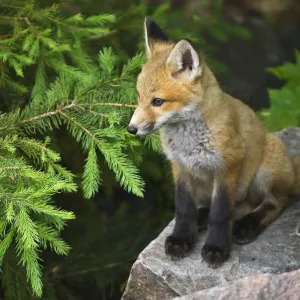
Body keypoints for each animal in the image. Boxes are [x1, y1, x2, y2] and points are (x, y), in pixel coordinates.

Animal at [127, 17, 300, 268]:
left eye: (158, 101)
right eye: (139, 98)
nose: (131, 129)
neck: (189, 143)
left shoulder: (227, 167)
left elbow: (220, 213)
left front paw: (216, 248)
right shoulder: (180, 167)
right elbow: (184, 208)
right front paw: (182, 239)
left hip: (263, 175)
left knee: (274, 202)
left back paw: (246, 226)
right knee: (233, 206)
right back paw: (203, 219)